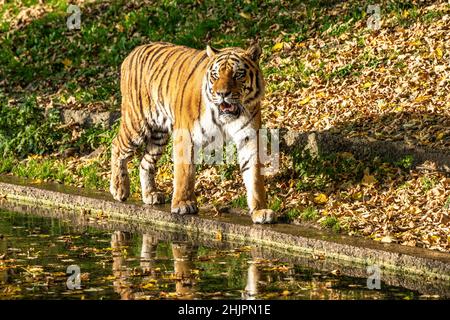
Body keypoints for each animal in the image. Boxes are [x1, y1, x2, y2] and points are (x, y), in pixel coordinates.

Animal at [110, 41, 276, 224]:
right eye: (215, 75)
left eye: (237, 74)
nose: (222, 93)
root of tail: (134, 51)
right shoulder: (185, 135)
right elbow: (185, 172)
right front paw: (183, 203)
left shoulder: (249, 138)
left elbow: (254, 177)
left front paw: (260, 211)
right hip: (137, 124)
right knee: (117, 146)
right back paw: (119, 189)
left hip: (158, 136)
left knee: (145, 162)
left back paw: (150, 195)